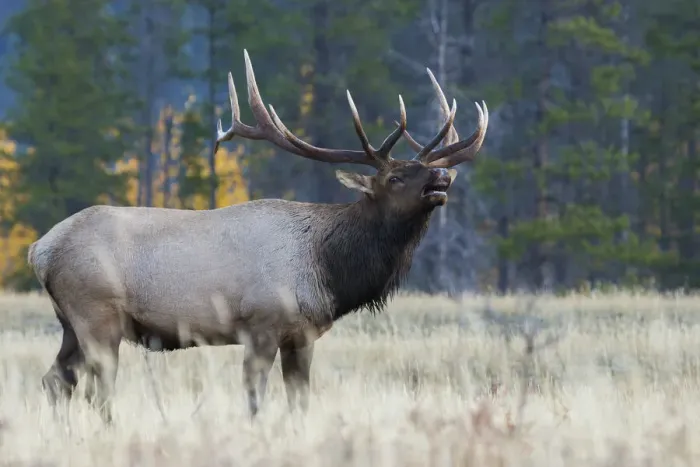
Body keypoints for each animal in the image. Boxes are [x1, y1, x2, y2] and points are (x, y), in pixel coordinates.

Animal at [28, 50, 488, 423]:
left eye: (426, 170)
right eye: (394, 177)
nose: (442, 178)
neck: (328, 271)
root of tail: (40, 249)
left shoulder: (301, 336)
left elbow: (300, 402)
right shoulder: (261, 325)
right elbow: (254, 400)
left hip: (70, 322)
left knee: (56, 381)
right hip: (96, 314)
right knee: (97, 391)